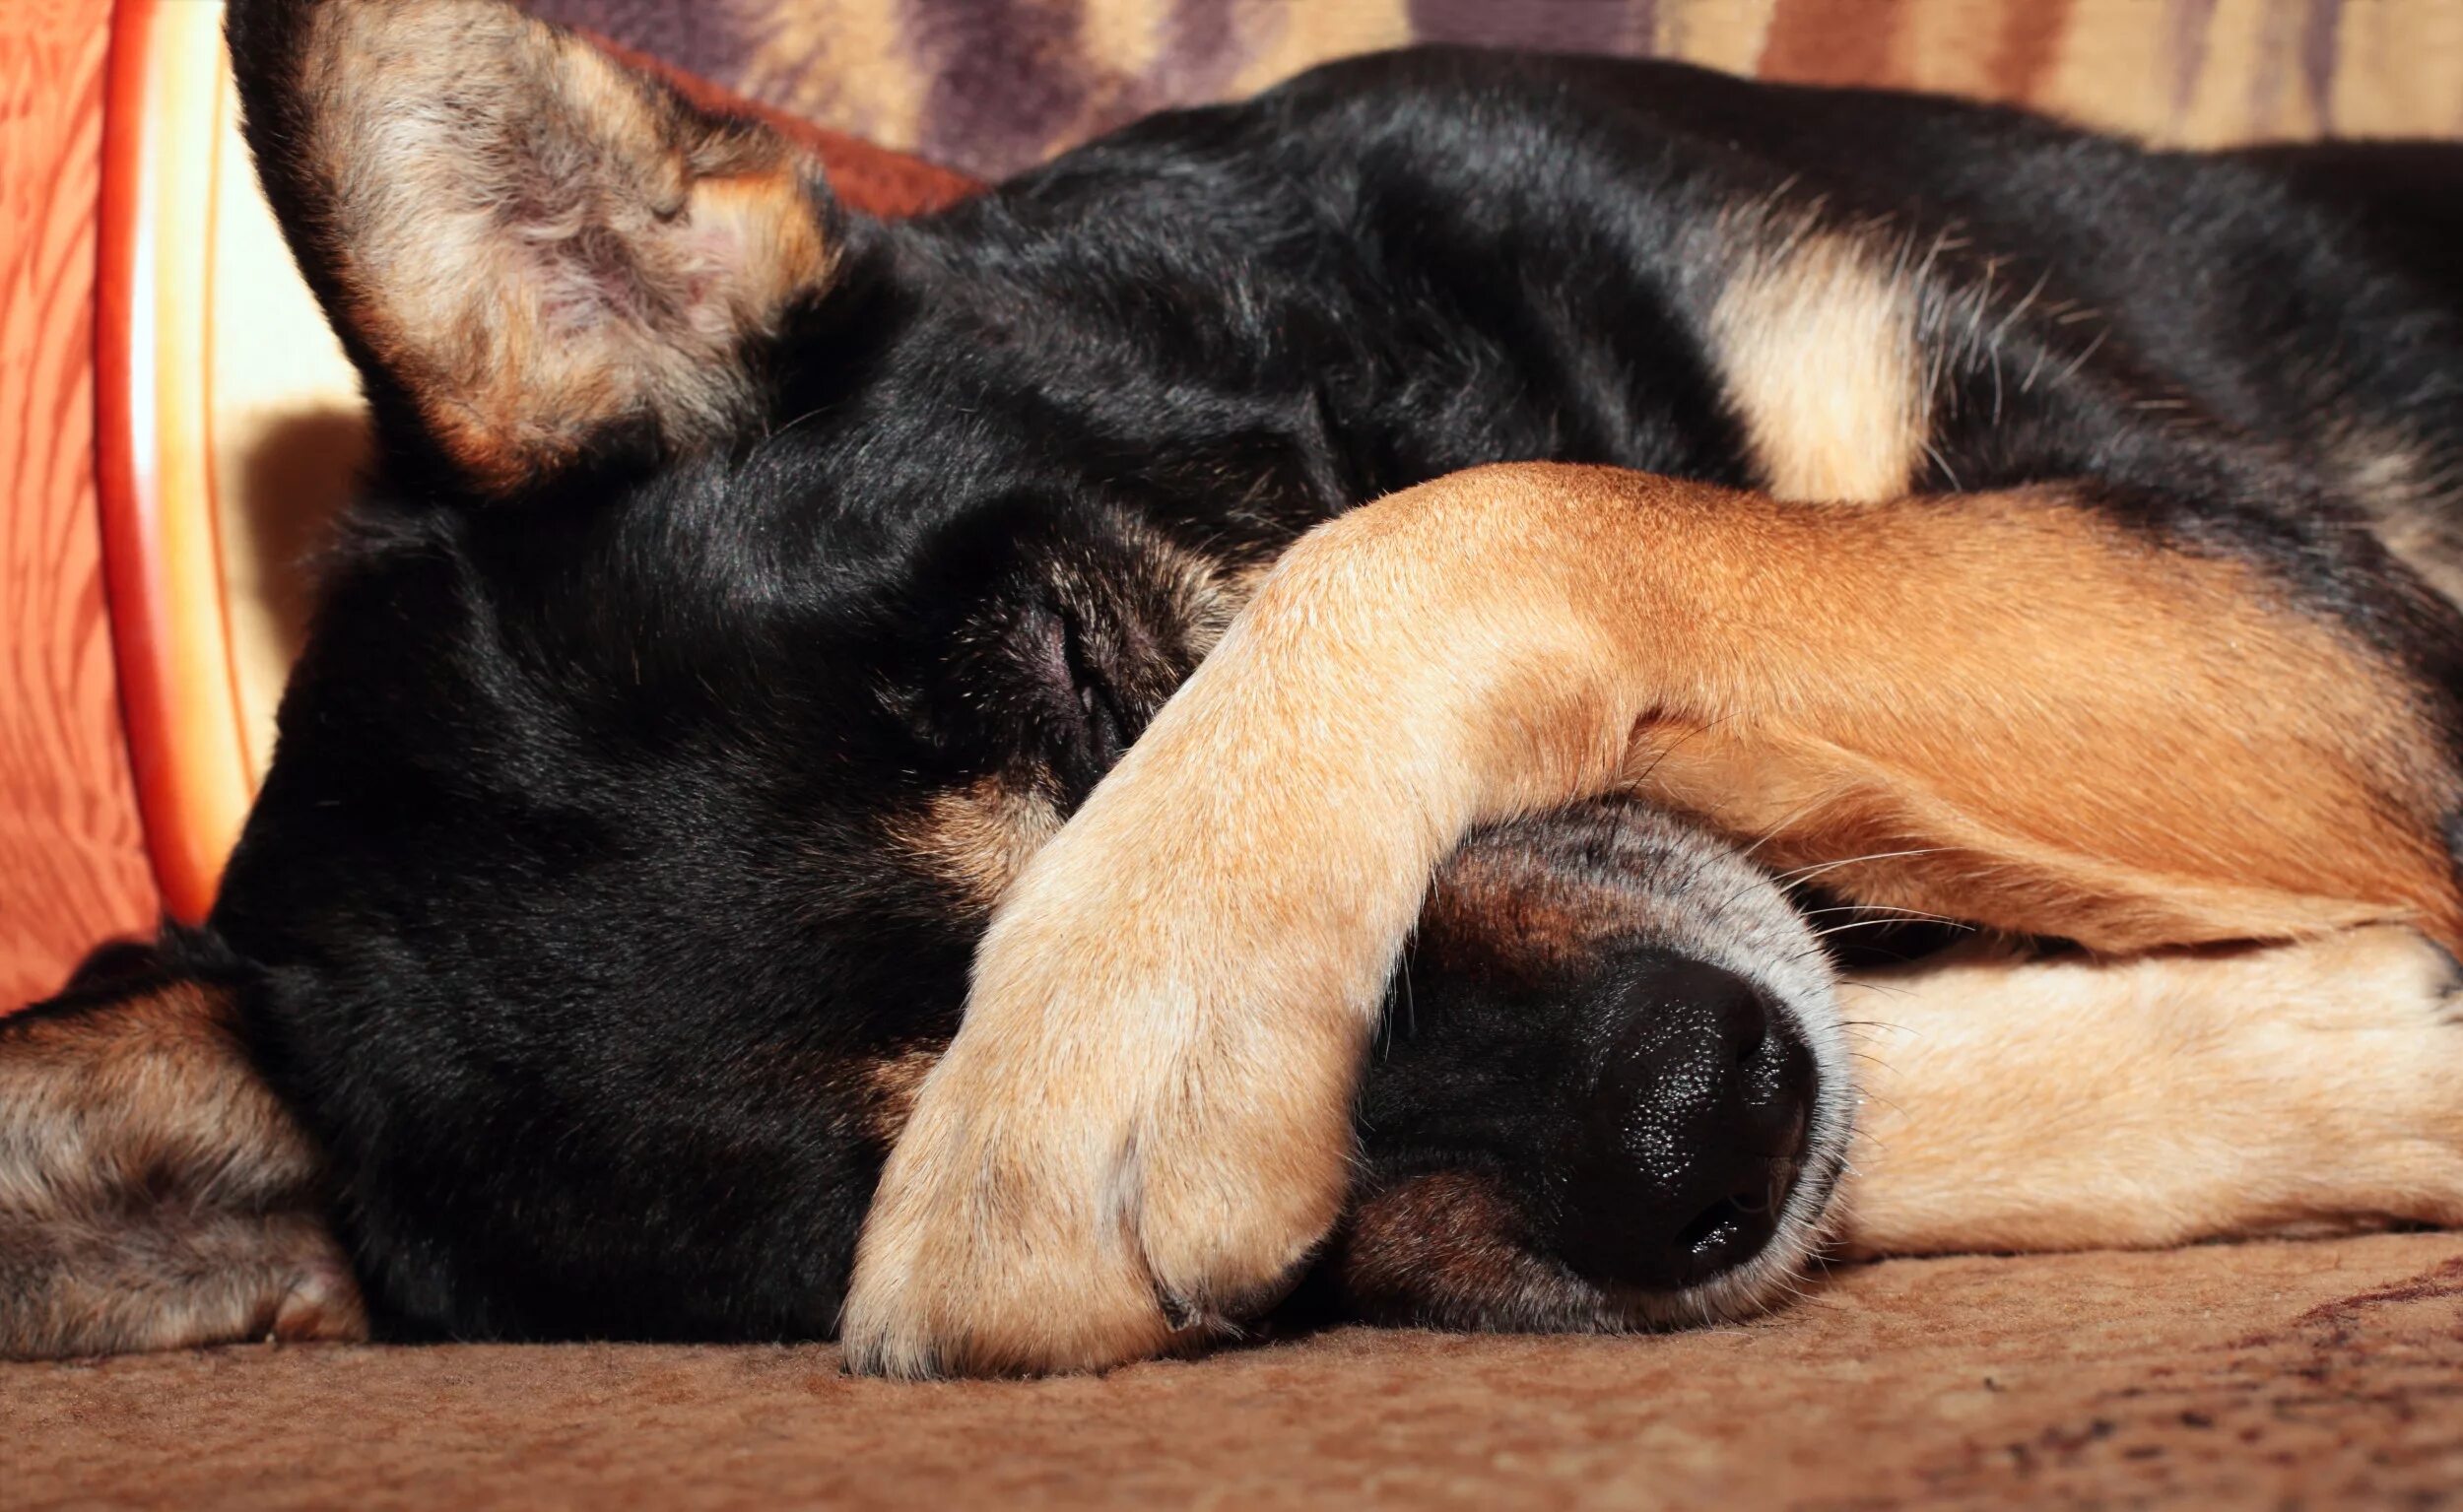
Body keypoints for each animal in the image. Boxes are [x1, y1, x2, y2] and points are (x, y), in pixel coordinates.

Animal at [4, 0, 2463, 1379]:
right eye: (856, 1186)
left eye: (1089, 663)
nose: (1705, 1120)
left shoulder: (2303, 599)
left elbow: (1492, 516)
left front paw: (1127, 1014)